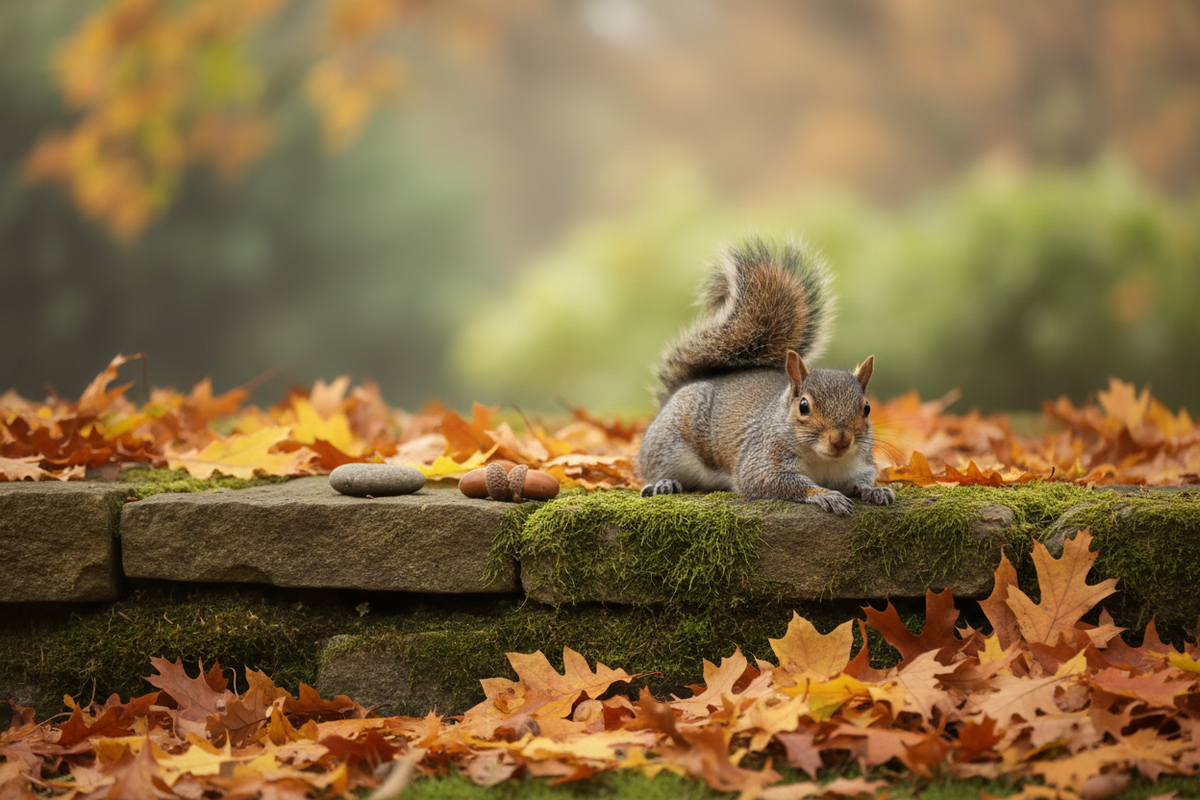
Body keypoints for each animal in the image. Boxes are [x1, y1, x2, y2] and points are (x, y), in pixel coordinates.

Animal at [636, 237, 895, 515]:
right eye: (803, 406)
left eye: (866, 408)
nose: (841, 440)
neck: (822, 460)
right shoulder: (761, 460)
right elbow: (774, 481)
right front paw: (826, 495)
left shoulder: (858, 465)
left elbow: (862, 480)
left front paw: (874, 490)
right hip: (668, 444)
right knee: (653, 468)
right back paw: (664, 483)